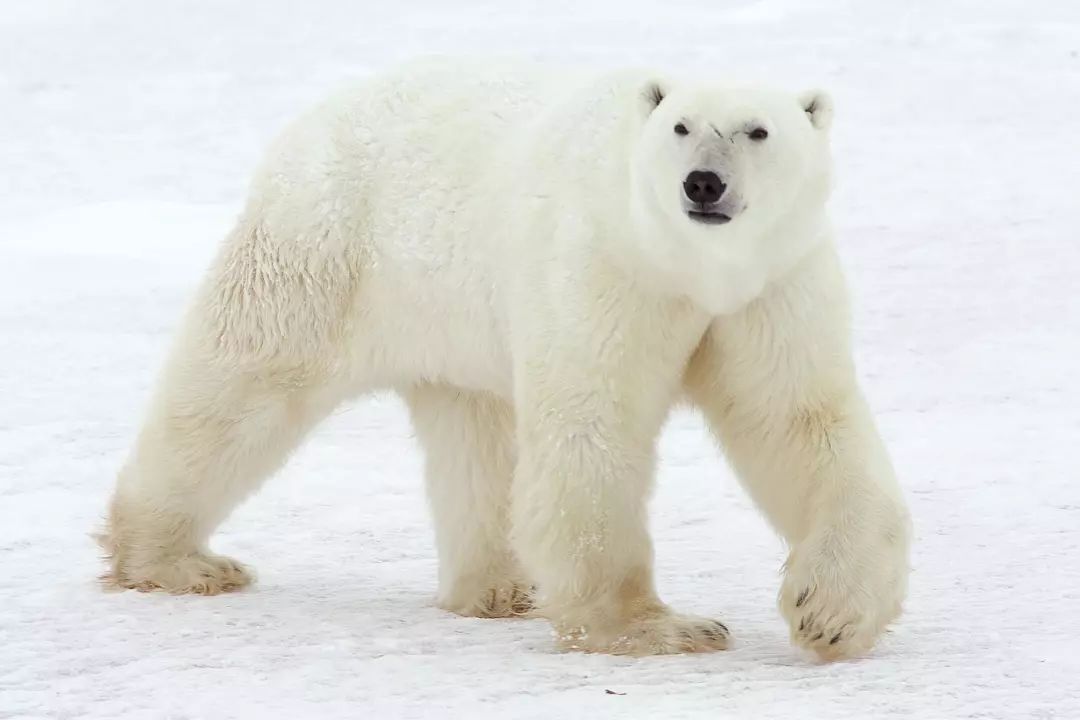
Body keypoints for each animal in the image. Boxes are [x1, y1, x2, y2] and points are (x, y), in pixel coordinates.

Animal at [101, 62, 911, 660]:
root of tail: (309, 121)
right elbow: (593, 428)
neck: (688, 267)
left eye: (758, 130)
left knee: (475, 436)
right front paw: (660, 628)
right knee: (241, 386)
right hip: (325, 254)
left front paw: (831, 615)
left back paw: (496, 588)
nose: (703, 183)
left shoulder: (770, 286)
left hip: (450, 320)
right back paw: (178, 561)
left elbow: (798, 421)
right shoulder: (604, 271)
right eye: (679, 126)